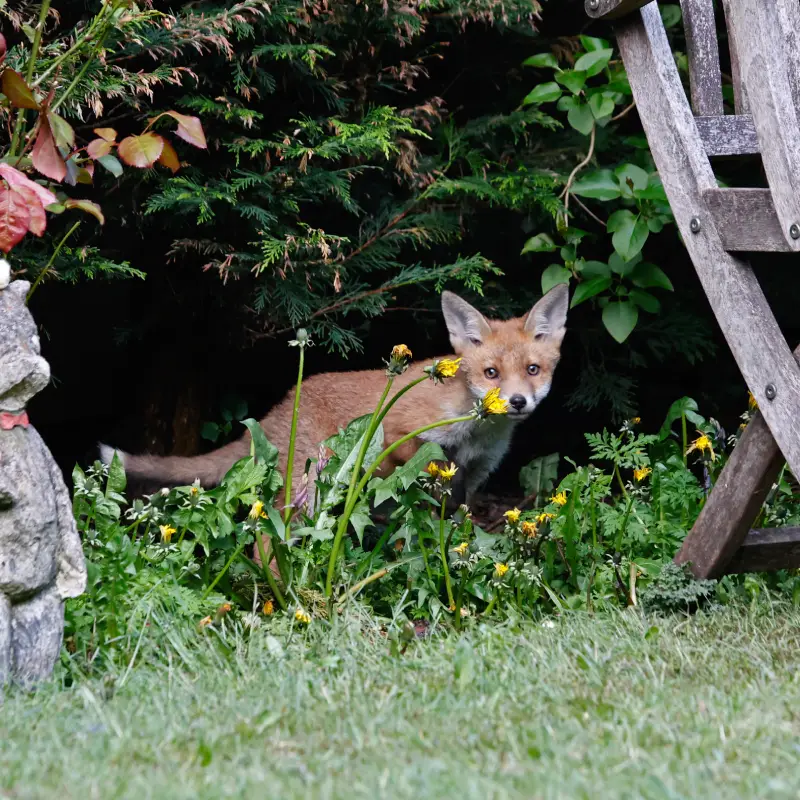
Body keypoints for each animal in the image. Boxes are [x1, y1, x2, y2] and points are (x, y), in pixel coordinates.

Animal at [100, 283, 569, 509]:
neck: (473, 432)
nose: (517, 402)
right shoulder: (403, 433)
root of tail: (282, 404)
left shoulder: (474, 477)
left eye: (532, 370)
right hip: (308, 484)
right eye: (491, 374)